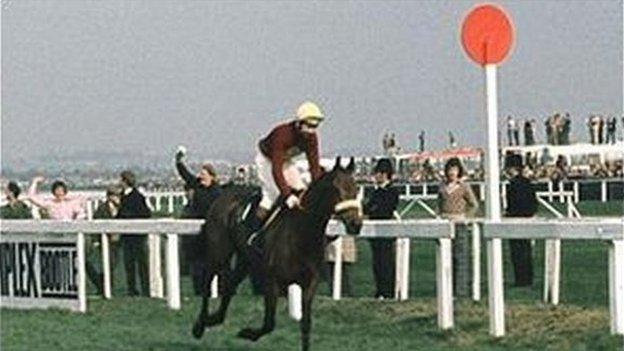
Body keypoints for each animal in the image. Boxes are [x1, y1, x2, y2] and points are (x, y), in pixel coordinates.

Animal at [193, 157, 364, 351]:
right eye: (336, 188)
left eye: (356, 187)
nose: (356, 224)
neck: (301, 233)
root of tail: (223, 195)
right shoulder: (271, 280)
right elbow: (269, 323)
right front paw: (247, 333)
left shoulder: (309, 283)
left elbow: (306, 324)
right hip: (219, 252)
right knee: (207, 280)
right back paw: (199, 325)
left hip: (246, 260)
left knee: (229, 285)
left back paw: (214, 319)